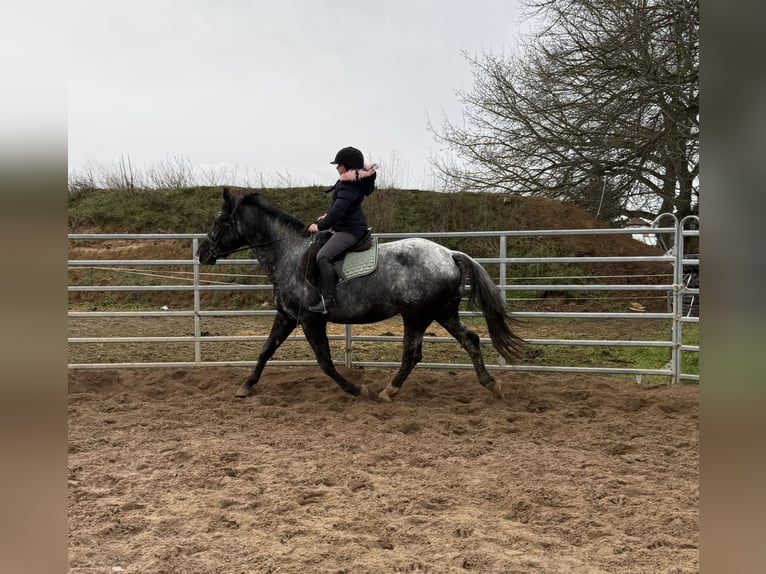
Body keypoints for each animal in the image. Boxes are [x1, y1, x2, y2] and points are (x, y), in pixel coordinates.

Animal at [196, 191, 528, 402]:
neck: (287, 254)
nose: (202, 253)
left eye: (219, 221)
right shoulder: (287, 317)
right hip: (443, 312)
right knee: (470, 340)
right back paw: (491, 384)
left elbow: (325, 362)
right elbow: (265, 350)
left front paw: (357, 390)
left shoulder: (311, 320)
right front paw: (246, 386)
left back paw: (388, 392)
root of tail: (449, 253)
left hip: (417, 316)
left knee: (412, 354)